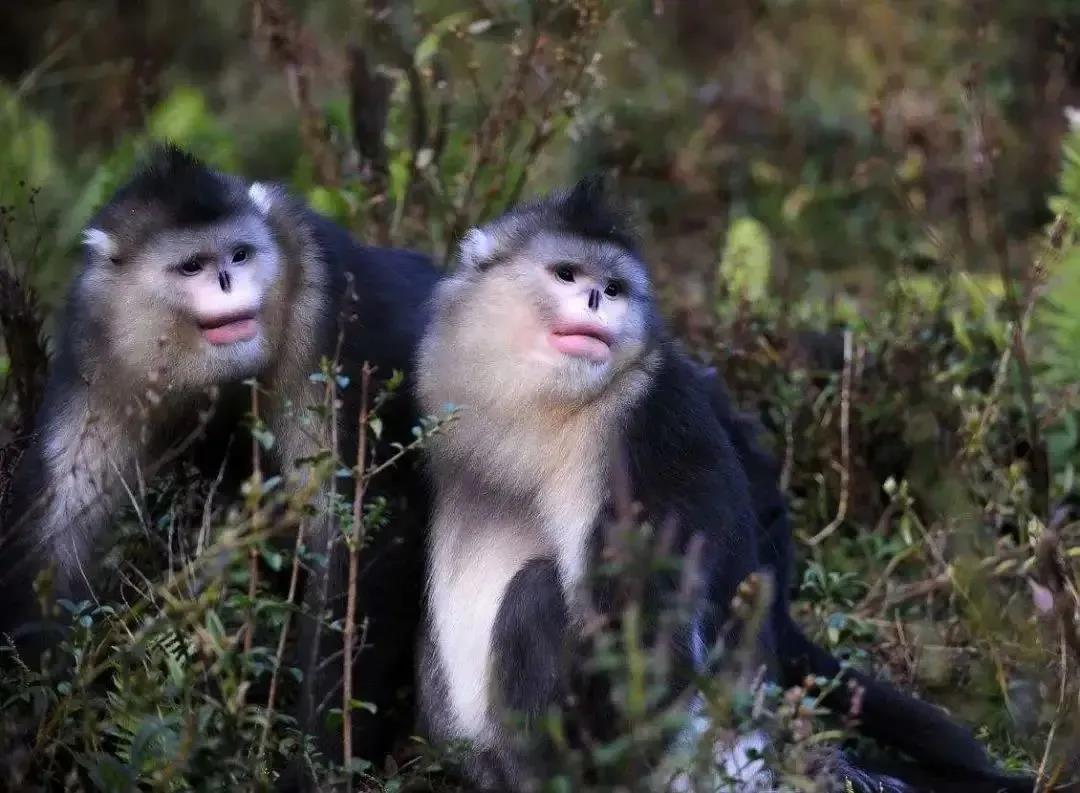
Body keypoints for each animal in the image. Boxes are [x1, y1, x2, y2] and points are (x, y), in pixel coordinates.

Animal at [1, 142, 438, 769]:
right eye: (192, 266)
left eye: (240, 253)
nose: (231, 281)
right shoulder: (96, 340)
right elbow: (59, 526)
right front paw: (31, 733)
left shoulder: (321, 302)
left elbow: (356, 528)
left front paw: (317, 760)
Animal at [412, 180, 1036, 793]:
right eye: (567, 274)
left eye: (613, 288)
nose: (594, 300)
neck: (543, 410)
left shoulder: (648, 420)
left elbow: (649, 636)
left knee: (540, 593)